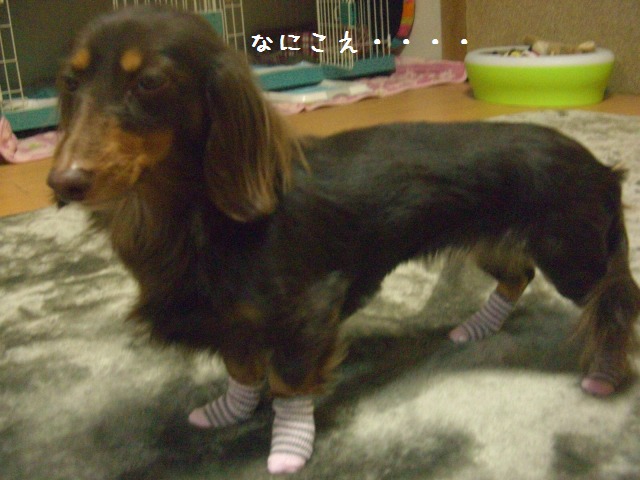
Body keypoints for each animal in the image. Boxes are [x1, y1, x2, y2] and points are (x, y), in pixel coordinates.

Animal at [48, 7, 640, 475]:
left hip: (573, 256)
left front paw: (288, 449)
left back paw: (604, 375)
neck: (183, 216)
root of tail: (601, 169)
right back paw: (475, 328)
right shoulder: (231, 317)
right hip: (495, 243)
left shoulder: (305, 310)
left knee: (614, 303)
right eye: (71, 82)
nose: (62, 182)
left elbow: (288, 382)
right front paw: (227, 412)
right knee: (518, 276)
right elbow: (241, 368)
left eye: (148, 82)